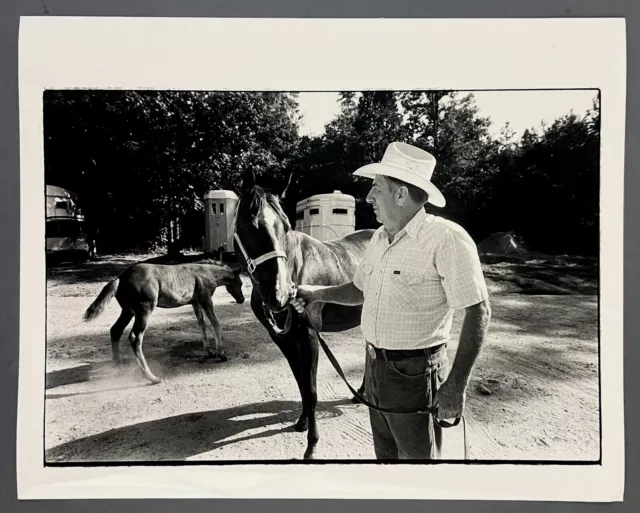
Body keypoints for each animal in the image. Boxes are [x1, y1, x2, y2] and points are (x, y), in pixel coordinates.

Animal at [82, 262, 245, 382]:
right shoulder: (205, 299)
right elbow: (215, 322)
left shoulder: (195, 302)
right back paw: (151, 377)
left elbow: (201, 324)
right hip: (144, 310)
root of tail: (119, 279)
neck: (206, 272)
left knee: (115, 330)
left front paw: (209, 350)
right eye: (240, 283)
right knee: (135, 337)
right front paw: (221, 354)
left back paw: (117, 365)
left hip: (127, 311)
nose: (241, 299)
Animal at [234, 169, 376, 460]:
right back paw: (359, 394)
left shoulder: (309, 336)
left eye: (286, 227)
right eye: (248, 227)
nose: (279, 295)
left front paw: (312, 445)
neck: (296, 267)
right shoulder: (282, 338)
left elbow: (311, 390)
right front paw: (301, 422)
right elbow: (300, 381)